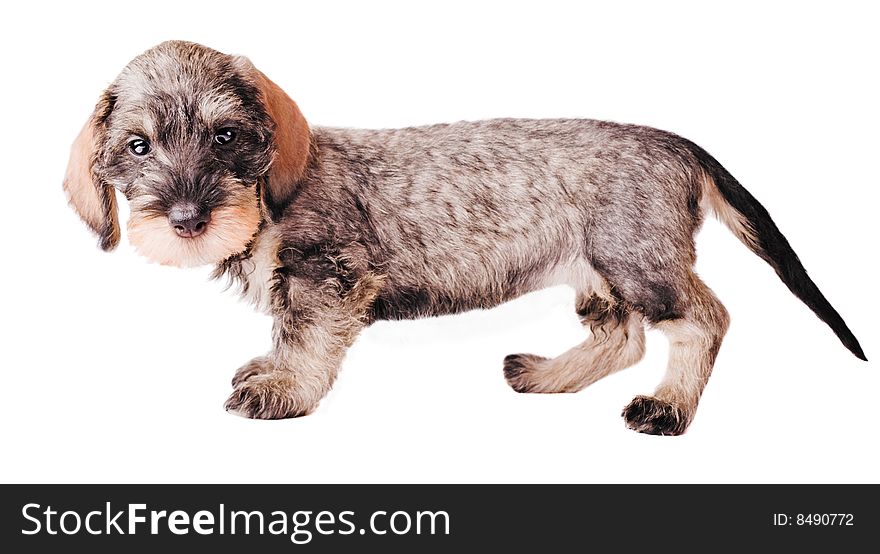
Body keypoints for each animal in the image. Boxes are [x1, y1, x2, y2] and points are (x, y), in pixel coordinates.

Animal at [63, 41, 868, 434]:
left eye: (226, 135)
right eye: (137, 147)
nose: (188, 220)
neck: (267, 201)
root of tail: (680, 145)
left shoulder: (328, 281)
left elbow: (307, 341)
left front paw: (285, 391)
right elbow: (285, 334)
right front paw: (269, 371)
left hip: (639, 261)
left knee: (704, 320)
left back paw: (667, 408)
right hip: (597, 272)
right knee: (623, 337)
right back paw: (547, 375)